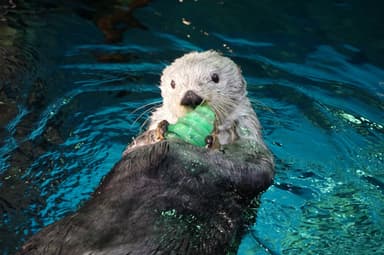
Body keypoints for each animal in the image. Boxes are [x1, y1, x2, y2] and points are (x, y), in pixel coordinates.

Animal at [16, 50, 272, 254]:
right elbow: (136, 146)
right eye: (173, 84)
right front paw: (160, 132)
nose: (190, 97)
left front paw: (212, 144)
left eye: (215, 78)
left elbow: (258, 170)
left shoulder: (250, 139)